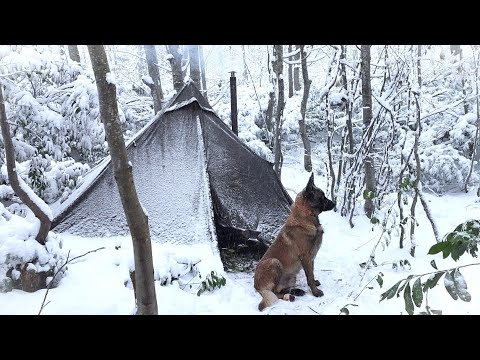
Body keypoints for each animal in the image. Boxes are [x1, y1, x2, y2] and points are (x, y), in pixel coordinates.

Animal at [253, 173, 336, 310]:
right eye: (322, 197)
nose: (334, 204)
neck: (308, 216)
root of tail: (256, 286)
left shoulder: (311, 258)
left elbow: (311, 274)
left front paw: (314, 284)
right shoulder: (306, 257)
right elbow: (310, 276)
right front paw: (315, 292)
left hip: (291, 277)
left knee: (281, 290)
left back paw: (296, 292)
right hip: (274, 262)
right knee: (275, 292)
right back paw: (292, 295)